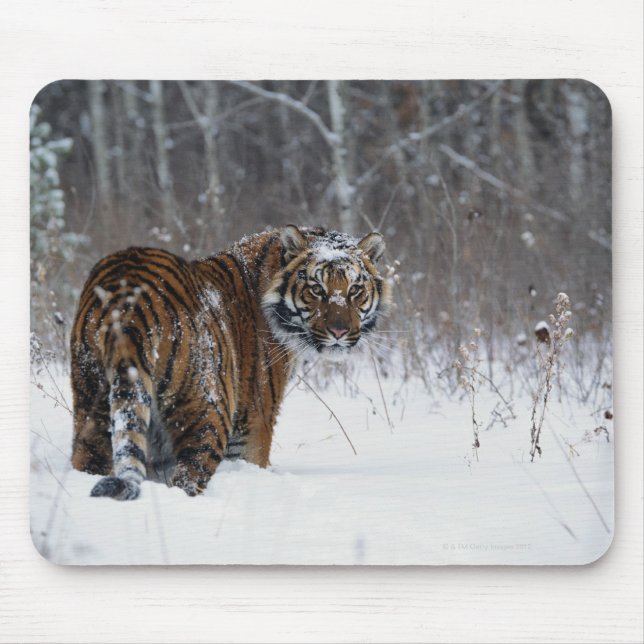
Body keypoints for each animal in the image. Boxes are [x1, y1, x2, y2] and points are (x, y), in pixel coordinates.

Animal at [70, 225, 389, 500]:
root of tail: (128, 300)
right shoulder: (253, 422)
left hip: (92, 404)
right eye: (316, 289)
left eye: (354, 290)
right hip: (208, 412)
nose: (339, 332)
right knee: (188, 478)